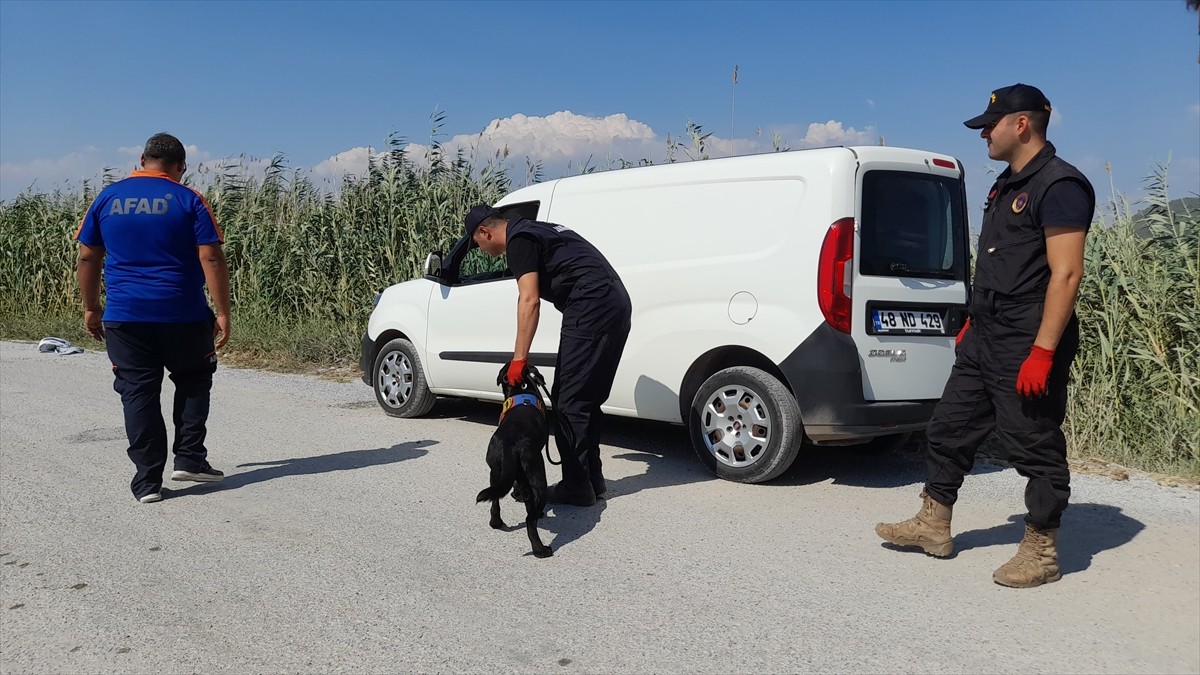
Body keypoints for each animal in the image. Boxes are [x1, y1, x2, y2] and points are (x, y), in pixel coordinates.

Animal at [477, 362, 552, 557]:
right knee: (530, 521)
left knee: (495, 501)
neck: (521, 391)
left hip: (496, 473)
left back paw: (496, 523)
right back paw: (540, 550)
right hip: (538, 475)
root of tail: (511, 445)